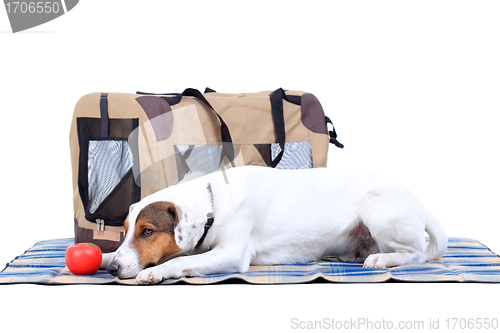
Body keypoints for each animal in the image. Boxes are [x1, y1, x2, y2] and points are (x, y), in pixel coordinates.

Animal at [103, 165, 448, 282]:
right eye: (125, 231)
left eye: (148, 231)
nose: (114, 270)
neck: (214, 201)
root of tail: (420, 202)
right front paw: (107, 257)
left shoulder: (231, 253)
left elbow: (177, 262)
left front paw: (155, 272)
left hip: (376, 206)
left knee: (417, 254)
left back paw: (381, 259)